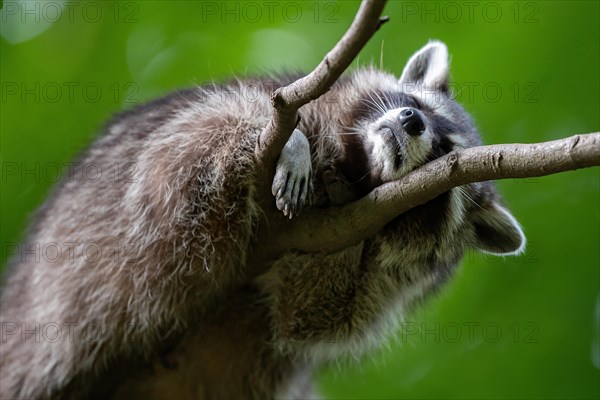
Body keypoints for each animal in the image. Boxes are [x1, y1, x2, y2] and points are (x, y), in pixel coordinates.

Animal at [0, 39, 524, 396]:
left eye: (445, 152)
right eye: (417, 107)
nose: (411, 122)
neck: (360, 167)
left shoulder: (393, 279)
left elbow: (311, 315)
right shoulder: (273, 101)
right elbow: (191, 147)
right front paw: (289, 143)